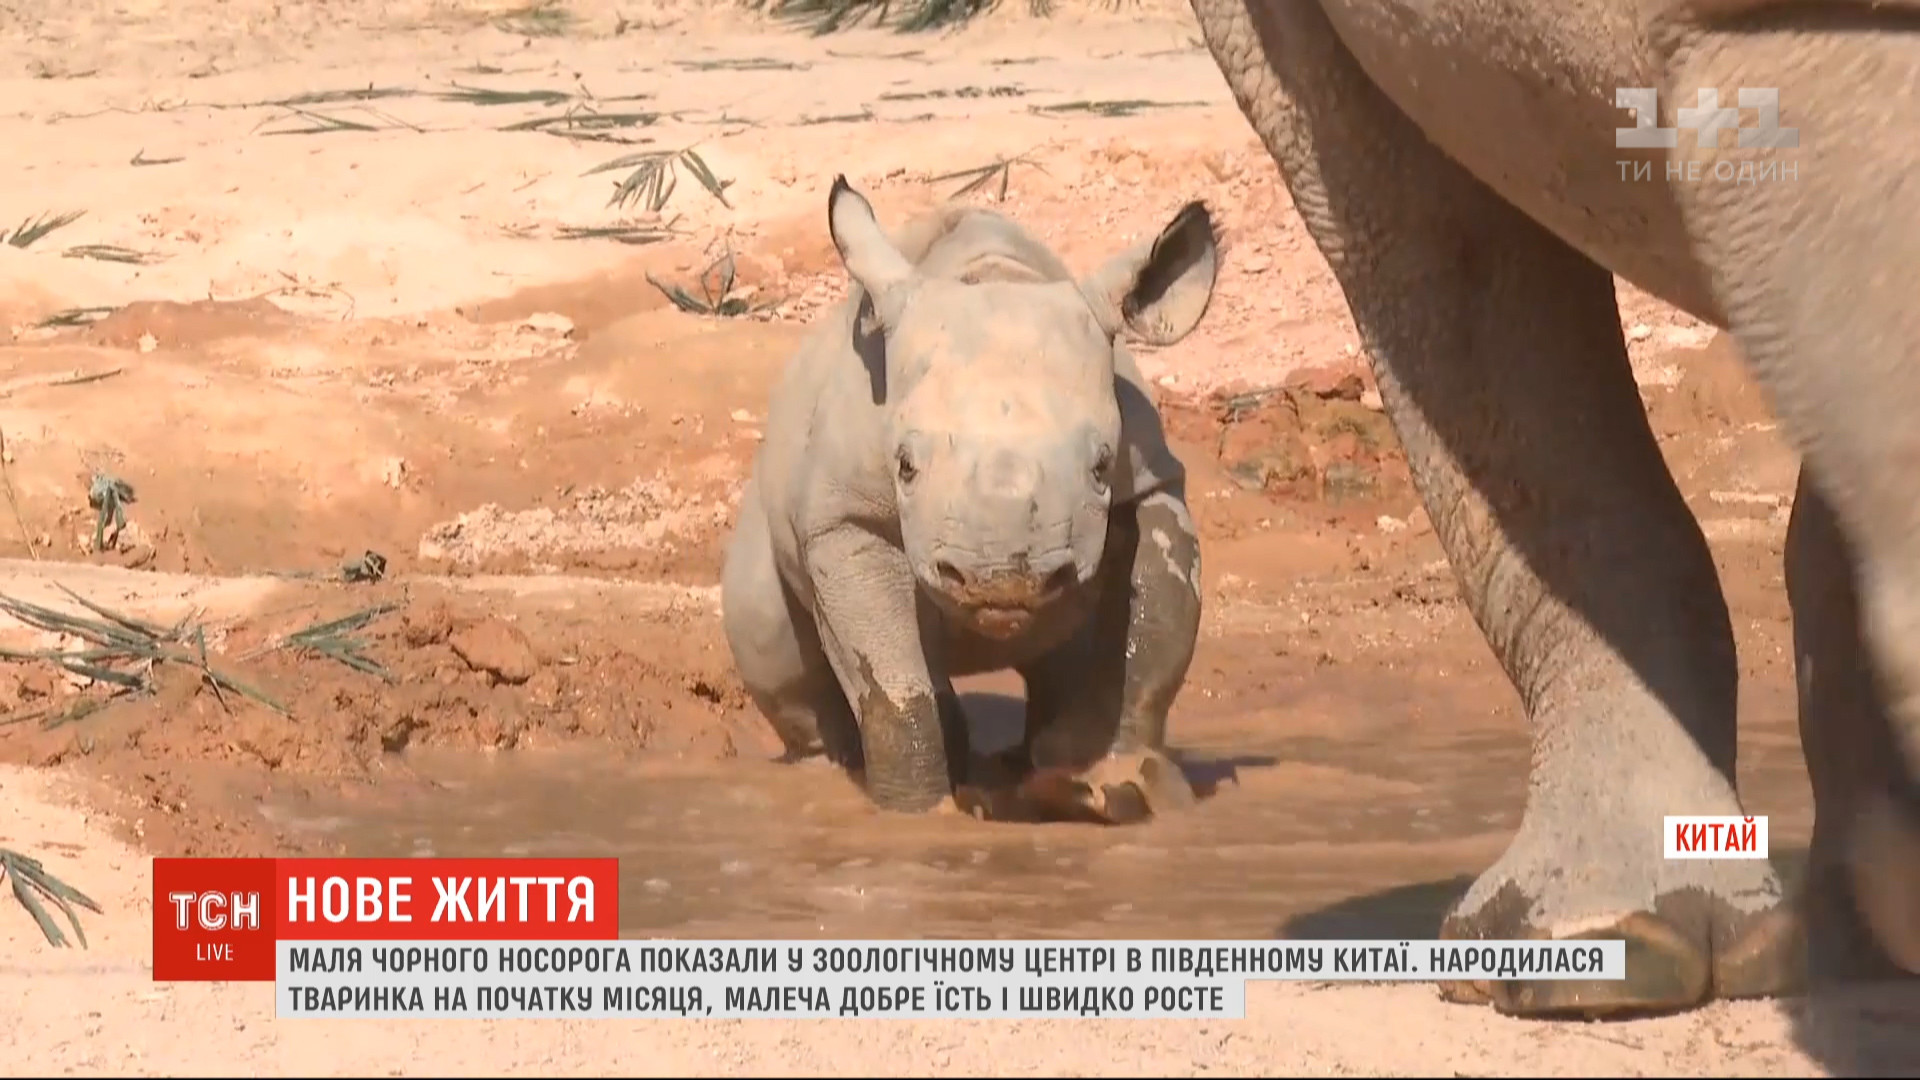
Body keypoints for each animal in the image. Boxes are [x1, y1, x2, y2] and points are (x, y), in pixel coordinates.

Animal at [721, 174, 1213, 814]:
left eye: (1102, 467)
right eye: (905, 467)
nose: (1002, 582)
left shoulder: (1150, 480)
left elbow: (1155, 637)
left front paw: (1126, 781)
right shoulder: (845, 517)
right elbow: (892, 682)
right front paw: (918, 813)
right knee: (775, 637)